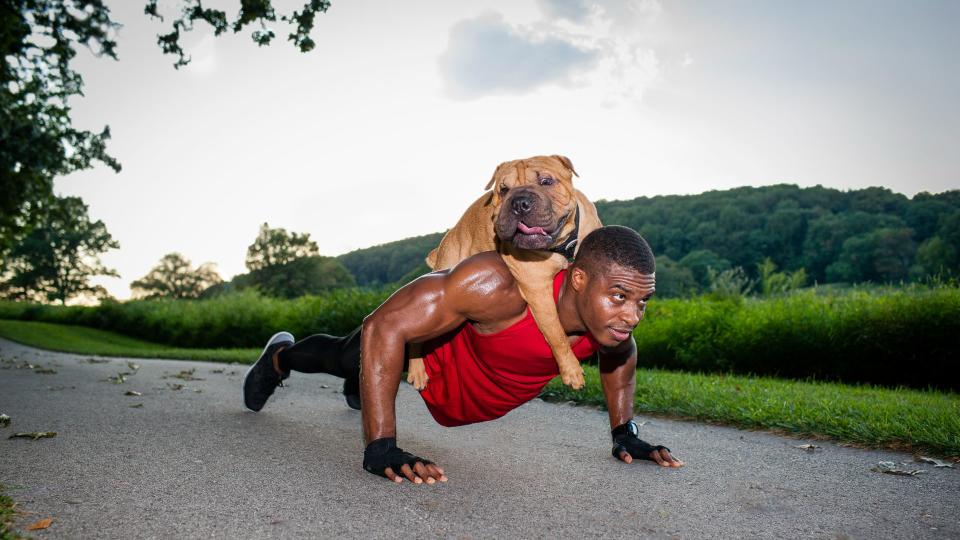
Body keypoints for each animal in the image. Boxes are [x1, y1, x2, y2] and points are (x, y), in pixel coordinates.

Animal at [408, 154, 604, 390]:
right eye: (503, 190)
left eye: (546, 181)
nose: (519, 203)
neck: (562, 246)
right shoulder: (538, 292)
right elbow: (557, 334)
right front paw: (571, 371)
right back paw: (417, 371)